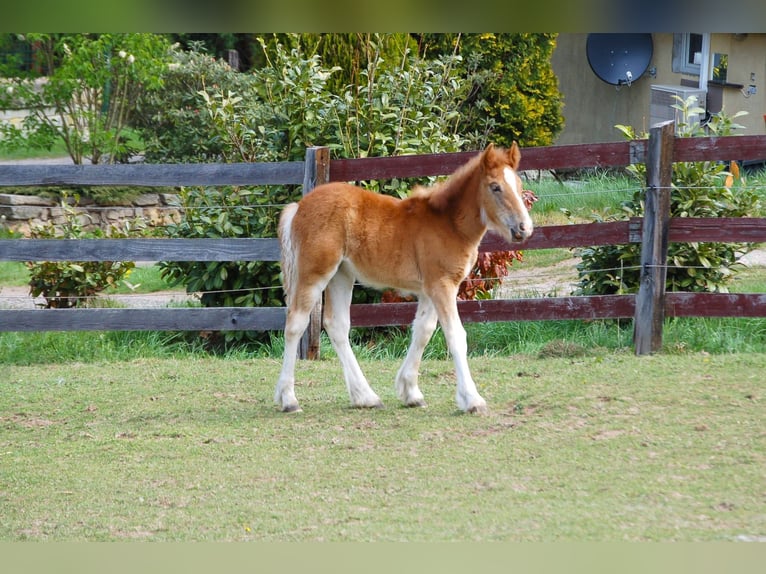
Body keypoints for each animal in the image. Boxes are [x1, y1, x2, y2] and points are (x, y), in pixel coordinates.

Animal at [276, 143, 536, 414]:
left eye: (519, 185)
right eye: (495, 187)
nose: (524, 228)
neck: (449, 224)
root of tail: (299, 206)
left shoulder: (431, 289)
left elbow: (422, 331)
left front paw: (410, 392)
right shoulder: (442, 286)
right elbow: (455, 336)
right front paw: (472, 400)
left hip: (341, 275)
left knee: (337, 325)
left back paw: (366, 397)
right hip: (314, 274)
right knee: (295, 323)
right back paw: (289, 400)